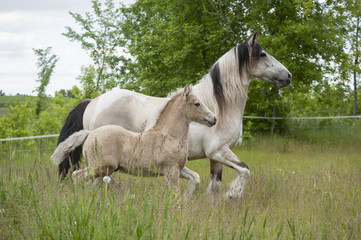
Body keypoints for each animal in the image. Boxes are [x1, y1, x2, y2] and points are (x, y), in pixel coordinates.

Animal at [51, 85, 215, 198]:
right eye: (197, 103)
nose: (213, 119)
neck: (168, 135)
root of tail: (90, 133)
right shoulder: (171, 171)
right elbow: (175, 195)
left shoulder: (177, 169)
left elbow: (193, 179)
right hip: (101, 168)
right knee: (78, 177)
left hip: (99, 168)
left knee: (79, 176)